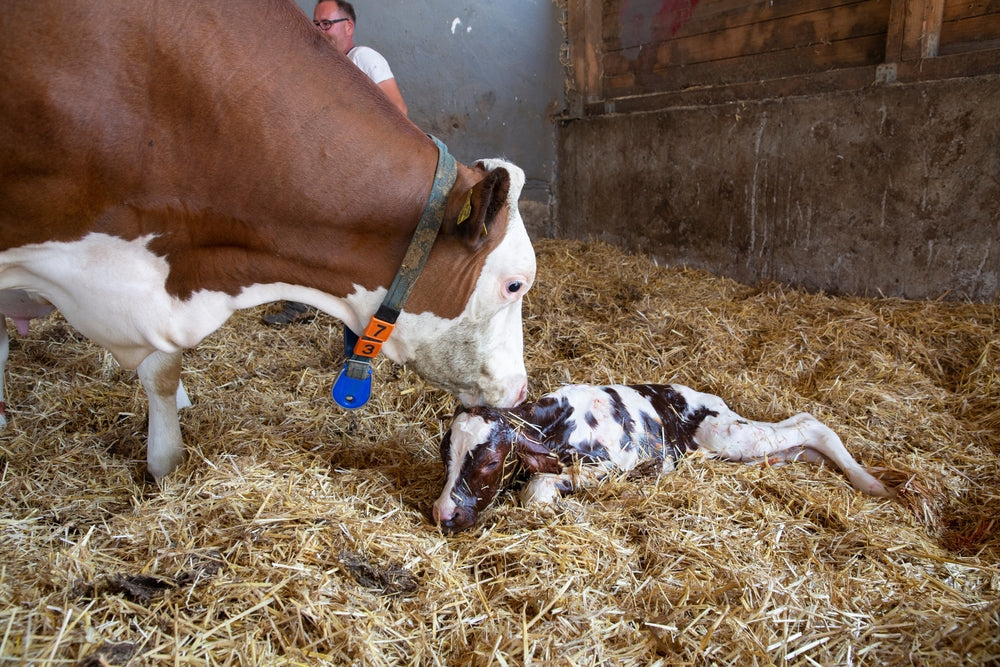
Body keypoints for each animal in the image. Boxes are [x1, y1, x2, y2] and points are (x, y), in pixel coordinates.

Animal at [433, 384, 895, 533]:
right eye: (445, 458)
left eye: (489, 462)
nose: (442, 515)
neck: (556, 420)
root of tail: (705, 398)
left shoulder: (611, 464)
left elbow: (539, 487)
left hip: (727, 434)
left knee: (811, 425)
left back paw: (874, 484)